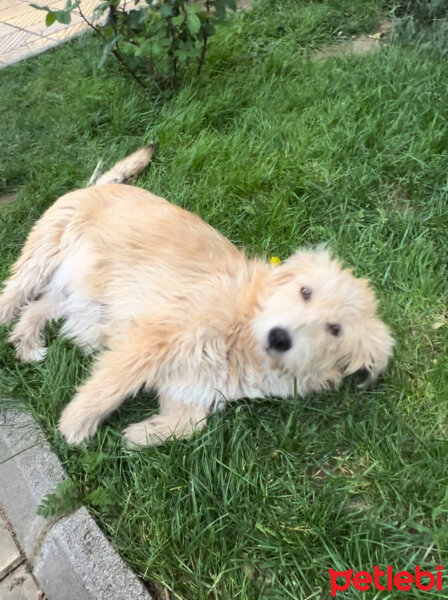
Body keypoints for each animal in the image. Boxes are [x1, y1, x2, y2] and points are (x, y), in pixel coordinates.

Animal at [0, 145, 392, 446]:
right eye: (305, 291)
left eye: (335, 330)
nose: (280, 337)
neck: (244, 332)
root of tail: (98, 186)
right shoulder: (149, 342)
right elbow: (110, 386)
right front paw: (76, 426)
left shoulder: (190, 386)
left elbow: (191, 424)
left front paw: (140, 434)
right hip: (42, 258)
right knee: (12, 298)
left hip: (76, 292)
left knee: (36, 308)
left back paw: (27, 343)